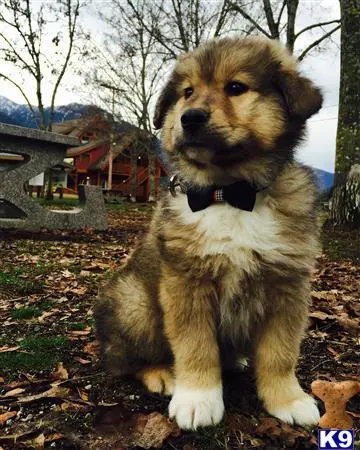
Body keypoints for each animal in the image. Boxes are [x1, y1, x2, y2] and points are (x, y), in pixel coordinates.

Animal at [95, 37, 324, 430]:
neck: (228, 193)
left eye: (236, 88)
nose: (189, 117)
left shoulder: (288, 284)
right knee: (124, 361)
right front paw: (198, 398)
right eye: (187, 92)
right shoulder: (187, 282)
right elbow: (195, 345)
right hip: (135, 304)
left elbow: (280, 352)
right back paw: (161, 373)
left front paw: (288, 398)